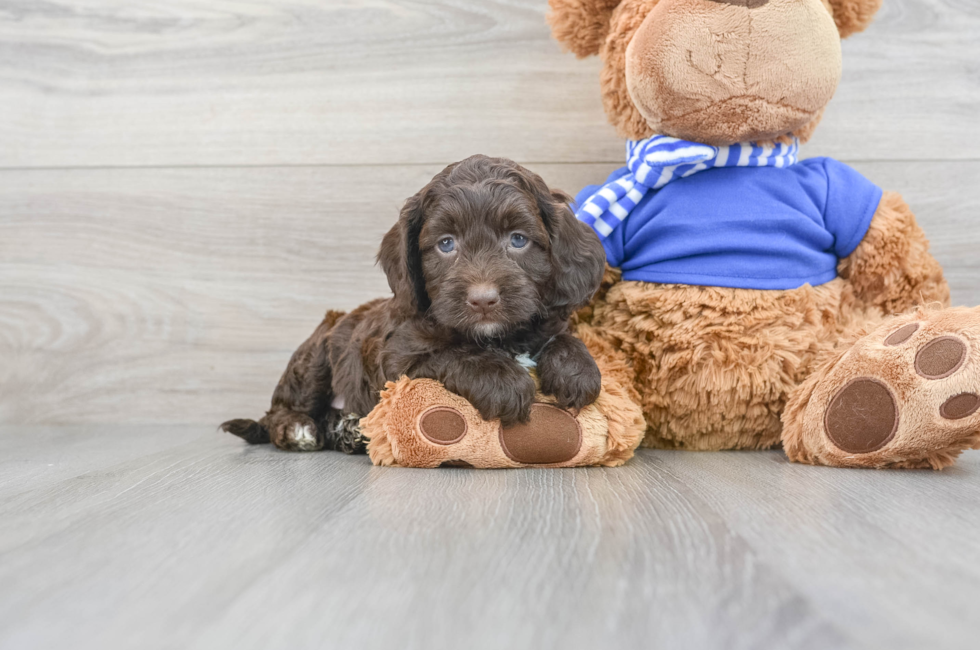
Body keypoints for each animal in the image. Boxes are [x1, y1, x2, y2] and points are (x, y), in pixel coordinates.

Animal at [221, 156, 604, 450]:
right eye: (446, 244)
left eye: (518, 240)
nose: (483, 300)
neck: (498, 336)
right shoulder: (396, 359)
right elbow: (451, 354)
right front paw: (502, 380)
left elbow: (562, 337)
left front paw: (577, 370)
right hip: (317, 352)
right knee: (280, 409)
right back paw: (299, 428)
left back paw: (348, 429)